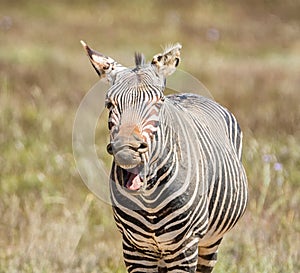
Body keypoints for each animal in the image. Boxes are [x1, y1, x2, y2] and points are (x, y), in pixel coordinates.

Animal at [81, 41, 247, 272]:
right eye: (109, 104)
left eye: (158, 101)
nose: (127, 149)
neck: (149, 196)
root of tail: (191, 94)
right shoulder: (134, 249)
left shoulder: (185, 247)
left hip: (210, 241)